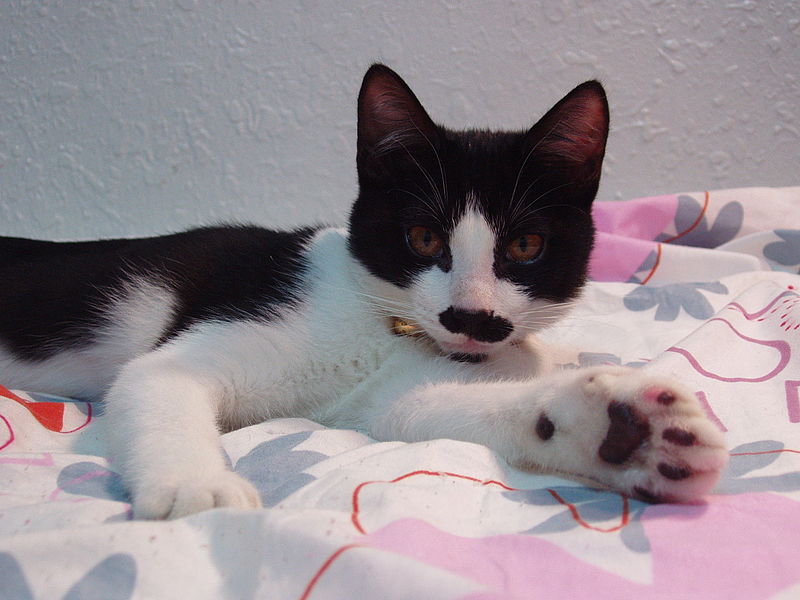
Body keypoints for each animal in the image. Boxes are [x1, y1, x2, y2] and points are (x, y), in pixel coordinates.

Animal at [0, 64, 724, 516]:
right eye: (423, 238)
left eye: (524, 247)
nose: (472, 317)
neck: (382, 325)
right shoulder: (227, 323)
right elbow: (157, 381)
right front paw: (196, 487)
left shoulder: (383, 399)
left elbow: (433, 412)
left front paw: (621, 430)